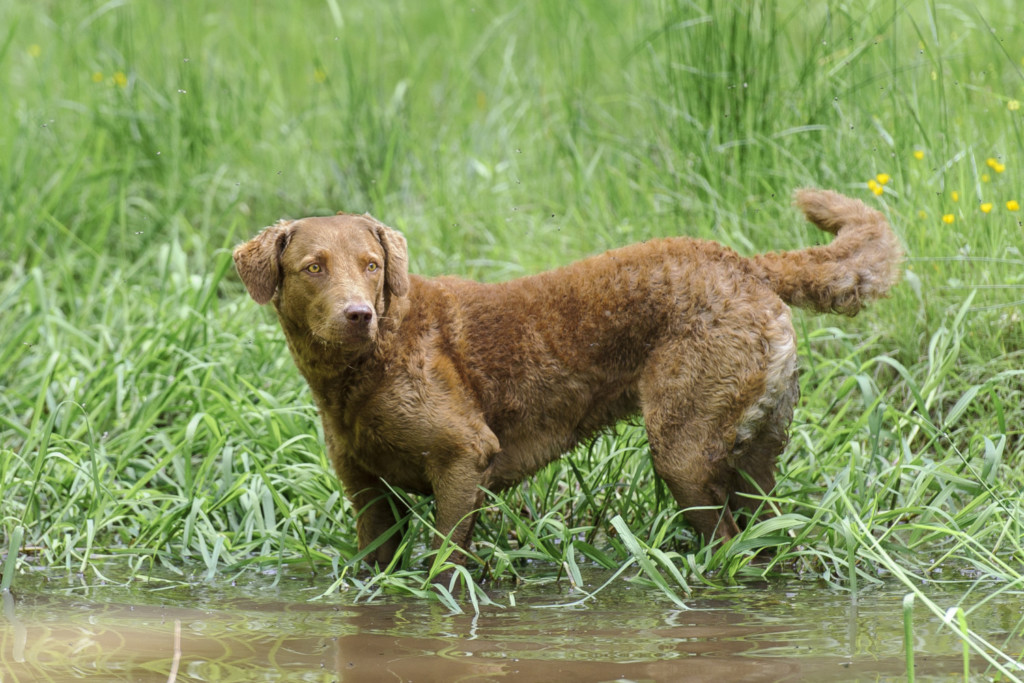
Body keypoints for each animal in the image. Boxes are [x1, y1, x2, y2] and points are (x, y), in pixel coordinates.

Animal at [234, 189, 905, 569]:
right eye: (314, 268)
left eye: (371, 265)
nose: (358, 314)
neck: (363, 370)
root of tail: (746, 264)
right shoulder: (366, 491)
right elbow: (373, 567)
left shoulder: (464, 456)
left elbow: (447, 562)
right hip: (755, 448)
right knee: (766, 530)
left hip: (684, 447)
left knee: (726, 537)